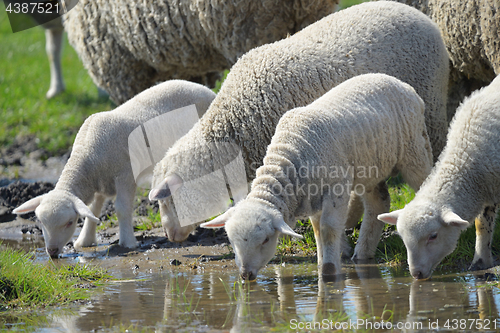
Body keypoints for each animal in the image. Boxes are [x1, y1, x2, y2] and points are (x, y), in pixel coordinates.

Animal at [12, 80, 216, 256]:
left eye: (70, 222)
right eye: (40, 222)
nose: (52, 252)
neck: (87, 157)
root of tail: (207, 89)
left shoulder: (125, 175)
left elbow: (122, 208)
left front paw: (128, 242)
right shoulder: (100, 182)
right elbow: (93, 211)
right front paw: (85, 241)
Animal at [201, 74, 436, 278]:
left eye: (266, 240)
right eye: (232, 241)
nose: (245, 275)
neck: (288, 154)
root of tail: (400, 83)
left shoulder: (336, 187)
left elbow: (328, 229)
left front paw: (329, 271)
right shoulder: (311, 197)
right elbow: (317, 231)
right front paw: (324, 262)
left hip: (414, 150)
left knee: (422, 181)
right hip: (372, 166)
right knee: (378, 202)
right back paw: (363, 253)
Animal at [378, 74, 500, 278]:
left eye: (433, 236)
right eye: (403, 238)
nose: (416, 274)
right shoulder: (487, 188)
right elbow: (482, 225)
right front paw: (481, 262)